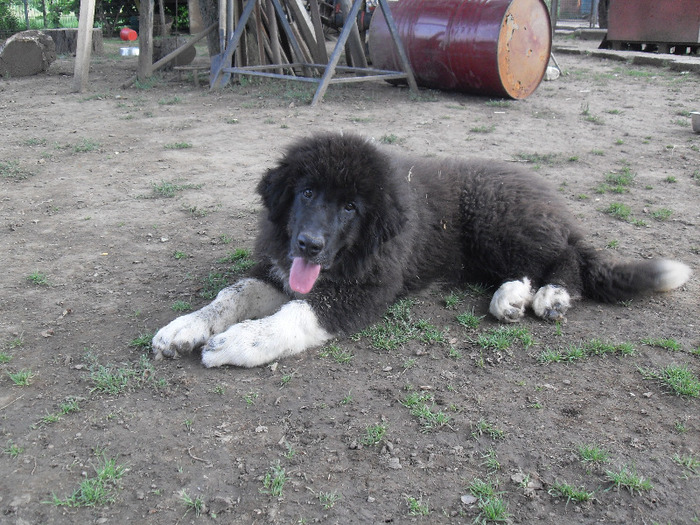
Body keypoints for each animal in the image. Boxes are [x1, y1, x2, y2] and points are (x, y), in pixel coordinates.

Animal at [150, 133, 692, 366]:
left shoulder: (364, 290)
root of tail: (549, 197)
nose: (309, 243)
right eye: (306, 192)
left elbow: (296, 317)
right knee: (524, 266)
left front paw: (236, 344)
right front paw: (184, 327)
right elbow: (234, 292)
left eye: (351, 207)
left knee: (566, 257)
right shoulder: (281, 269)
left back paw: (552, 295)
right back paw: (510, 298)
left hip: (500, 220)